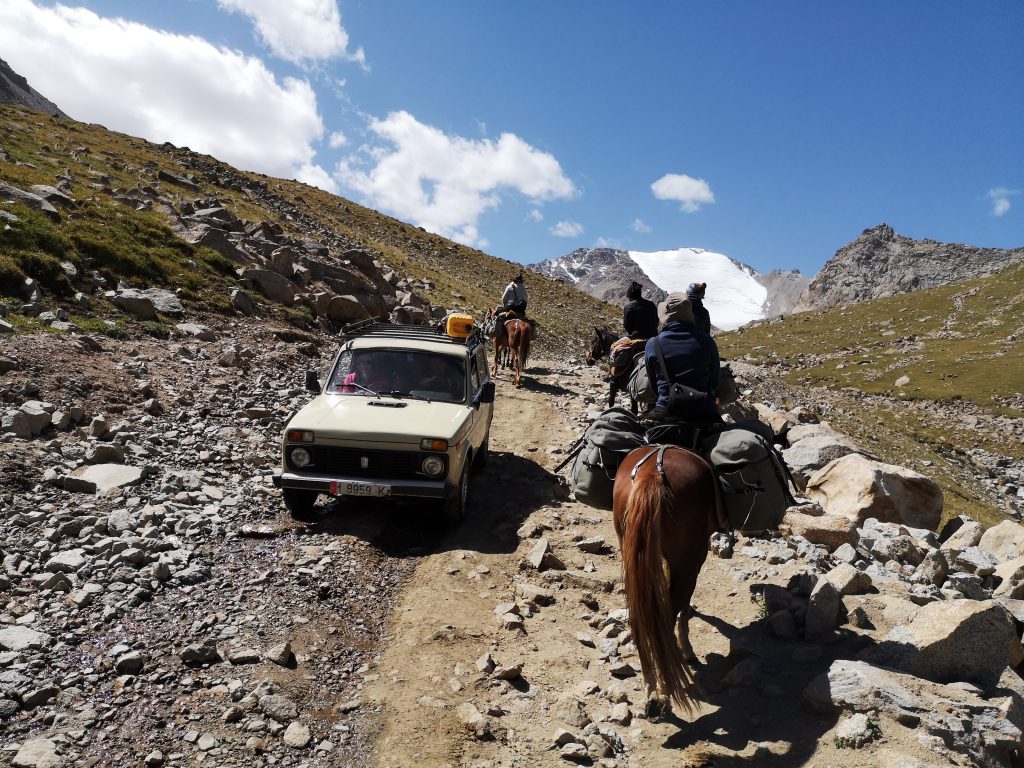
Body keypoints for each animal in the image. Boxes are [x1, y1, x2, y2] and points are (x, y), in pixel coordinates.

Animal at [610, 442, 716, 720]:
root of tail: (651, 475)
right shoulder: (689, 563)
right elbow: (685, 609)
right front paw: (687, 650)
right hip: (690, 559)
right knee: (663, 623)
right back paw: (664, 696)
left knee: (641, 620)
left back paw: (651, 691)